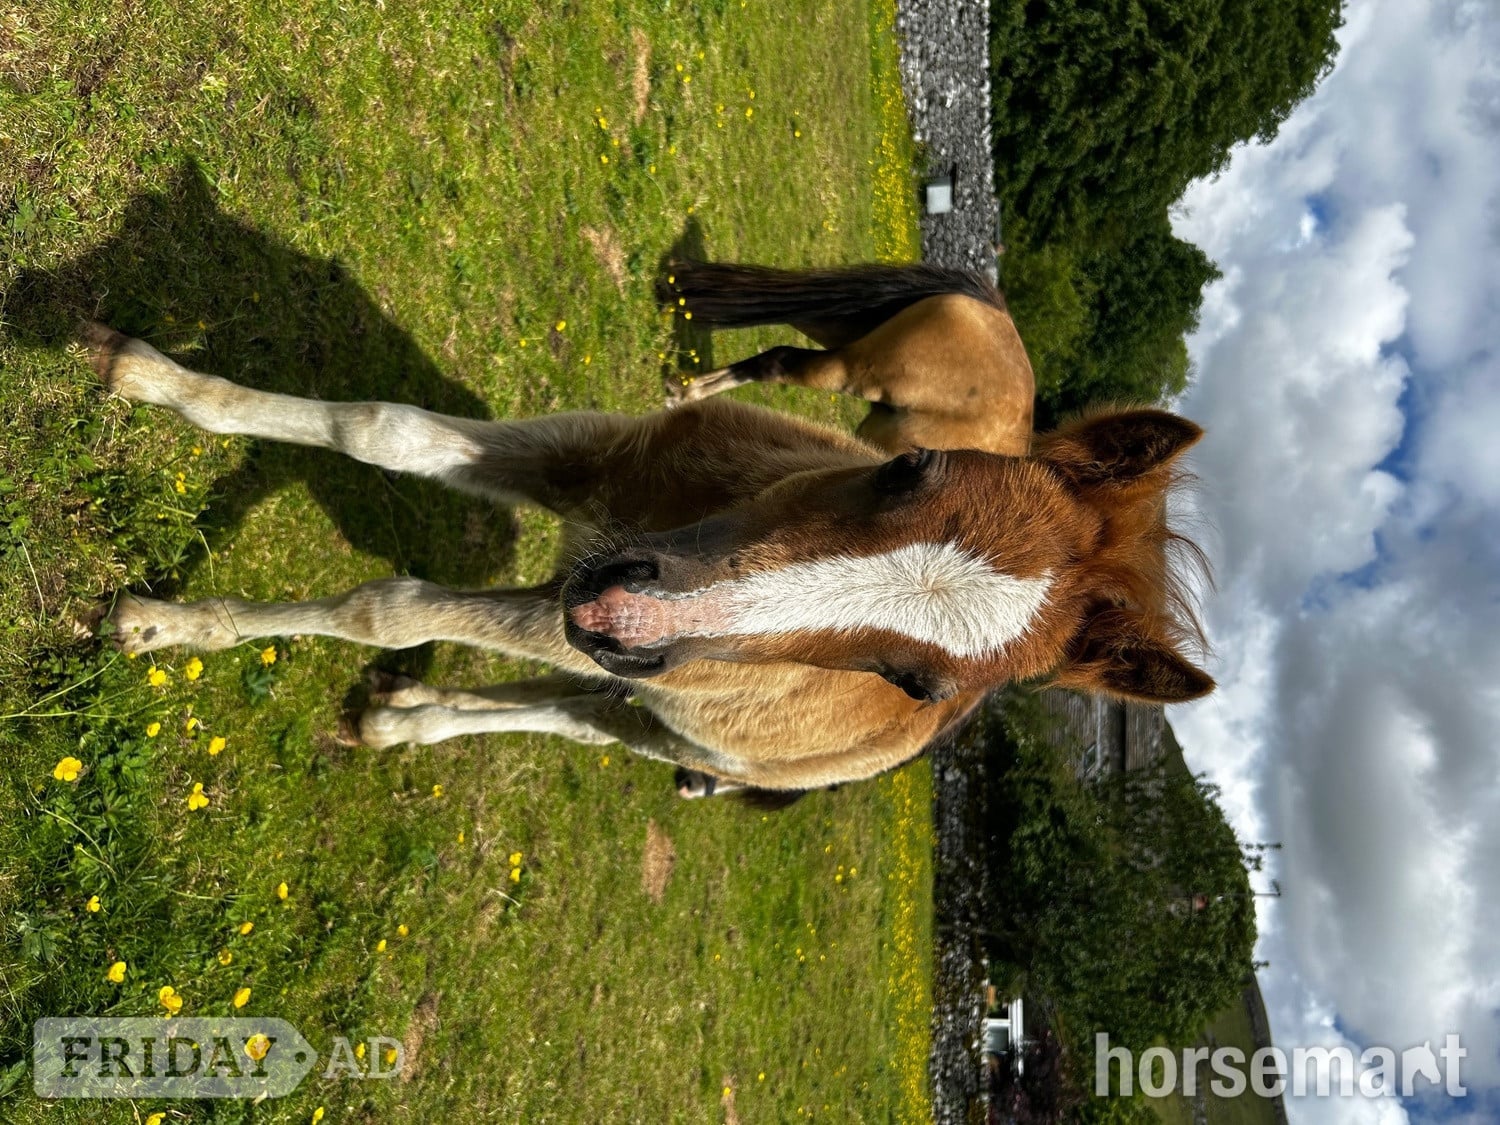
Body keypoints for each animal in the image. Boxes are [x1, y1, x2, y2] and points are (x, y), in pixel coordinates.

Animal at [87, 259, 1212, 799]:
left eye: (915, 682)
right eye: (905, 467)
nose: (624, 609)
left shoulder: (588, 619)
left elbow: (389, 605)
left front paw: (165, 626)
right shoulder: (597, 466)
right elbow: (377, 427)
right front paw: (147, 374)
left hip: (664, 724)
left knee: (571, 714)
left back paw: (410, 720)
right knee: (560, 699)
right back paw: (402, 714)